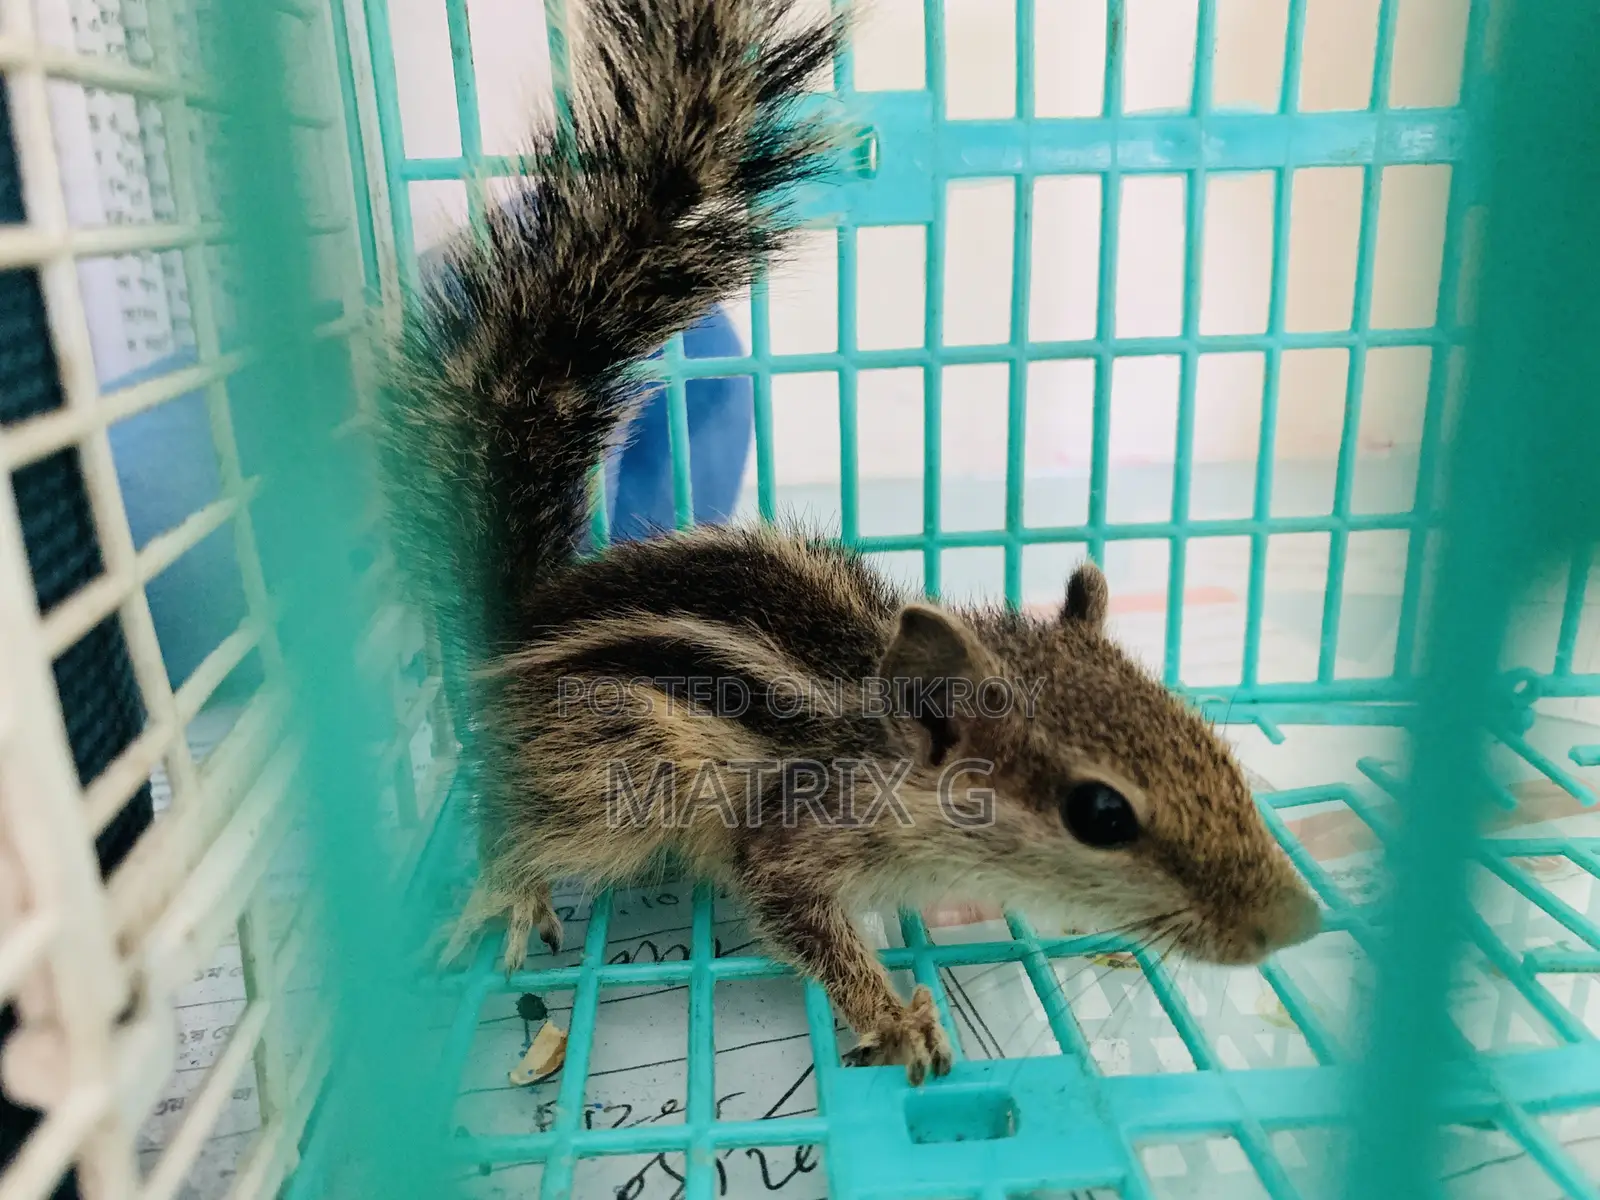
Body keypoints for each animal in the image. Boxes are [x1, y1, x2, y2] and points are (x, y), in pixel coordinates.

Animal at [376, 0, 1322, 1085]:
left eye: (1208, 738)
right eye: (1101, 815)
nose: (1300, 924)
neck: (880, 746)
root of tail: (525, 610)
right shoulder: (789, 840)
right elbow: (802, 922)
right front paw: (898, 1018)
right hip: (608, 779)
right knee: (516, 829)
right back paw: (507, 893)